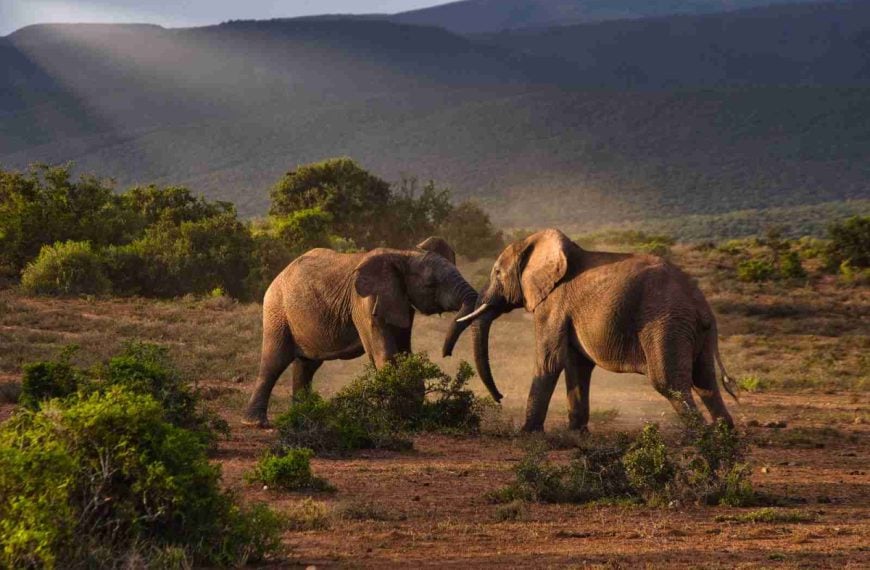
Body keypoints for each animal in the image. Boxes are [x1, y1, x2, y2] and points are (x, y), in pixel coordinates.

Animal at [243, 236, 479, 426]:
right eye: (431, 284)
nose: (446, 353)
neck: (404, 254)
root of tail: (280, 274)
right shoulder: (364, 302)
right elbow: (384, 354)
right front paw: (394, 416)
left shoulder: (400, 300)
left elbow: (404, 352)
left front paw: (412, 413)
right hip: (277, 310)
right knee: (275, 360)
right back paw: (256, 423)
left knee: (307, 365)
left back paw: (303, 418)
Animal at [450, 229, 738, 432]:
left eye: (497, 273)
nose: (500, 397)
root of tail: (701, 303)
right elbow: (576, 364)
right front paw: (577, 433)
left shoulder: (554, 303)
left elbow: (549, 361)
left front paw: (527, 433)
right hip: (692, 331)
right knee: (705, 381)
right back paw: (724, 437)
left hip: (666, 324)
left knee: (670, 383)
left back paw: (701, 440)